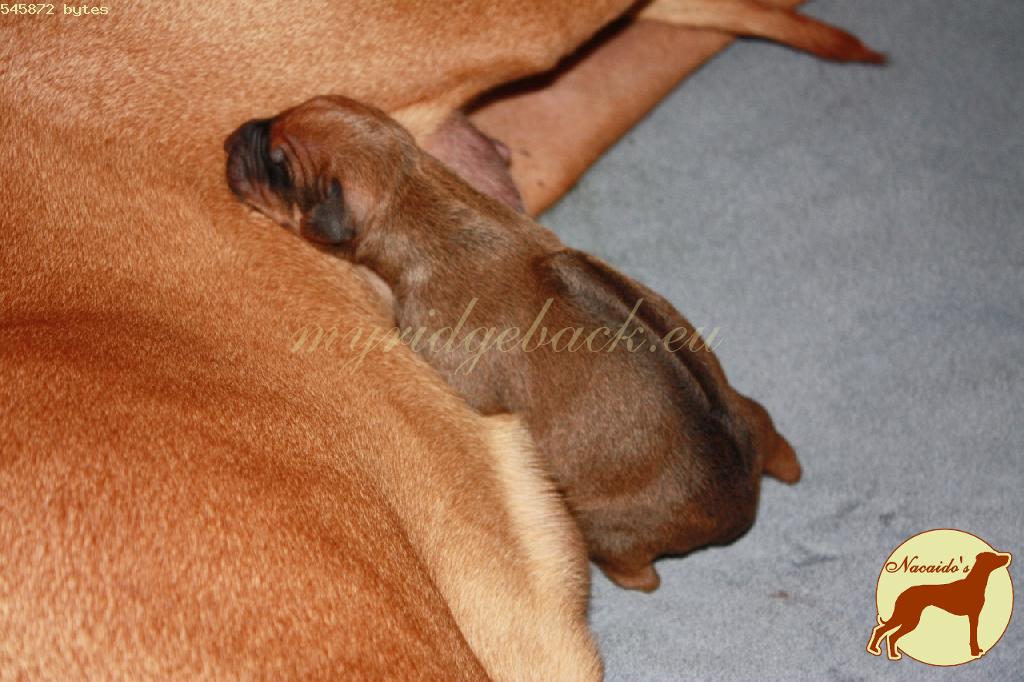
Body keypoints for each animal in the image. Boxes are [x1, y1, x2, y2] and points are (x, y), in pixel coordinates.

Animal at [225, 95, 803, 592]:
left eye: (277, 167)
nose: (231, 137)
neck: (420, 199)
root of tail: (744, 499)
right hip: (750, 410)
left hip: (609, 529)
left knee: (639, 576)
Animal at [867, 551, 1012, 660]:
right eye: (994, 556)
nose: (1008, 557)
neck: (975, 583)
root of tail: (903, 593)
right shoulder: (973, 616)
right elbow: (973, 636)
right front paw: (975, 652)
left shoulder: (973, 616)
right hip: (910, 618)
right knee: (887, 633)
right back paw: (884, 652)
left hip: (906, 617)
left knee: (885, 632)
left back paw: (883, 651)